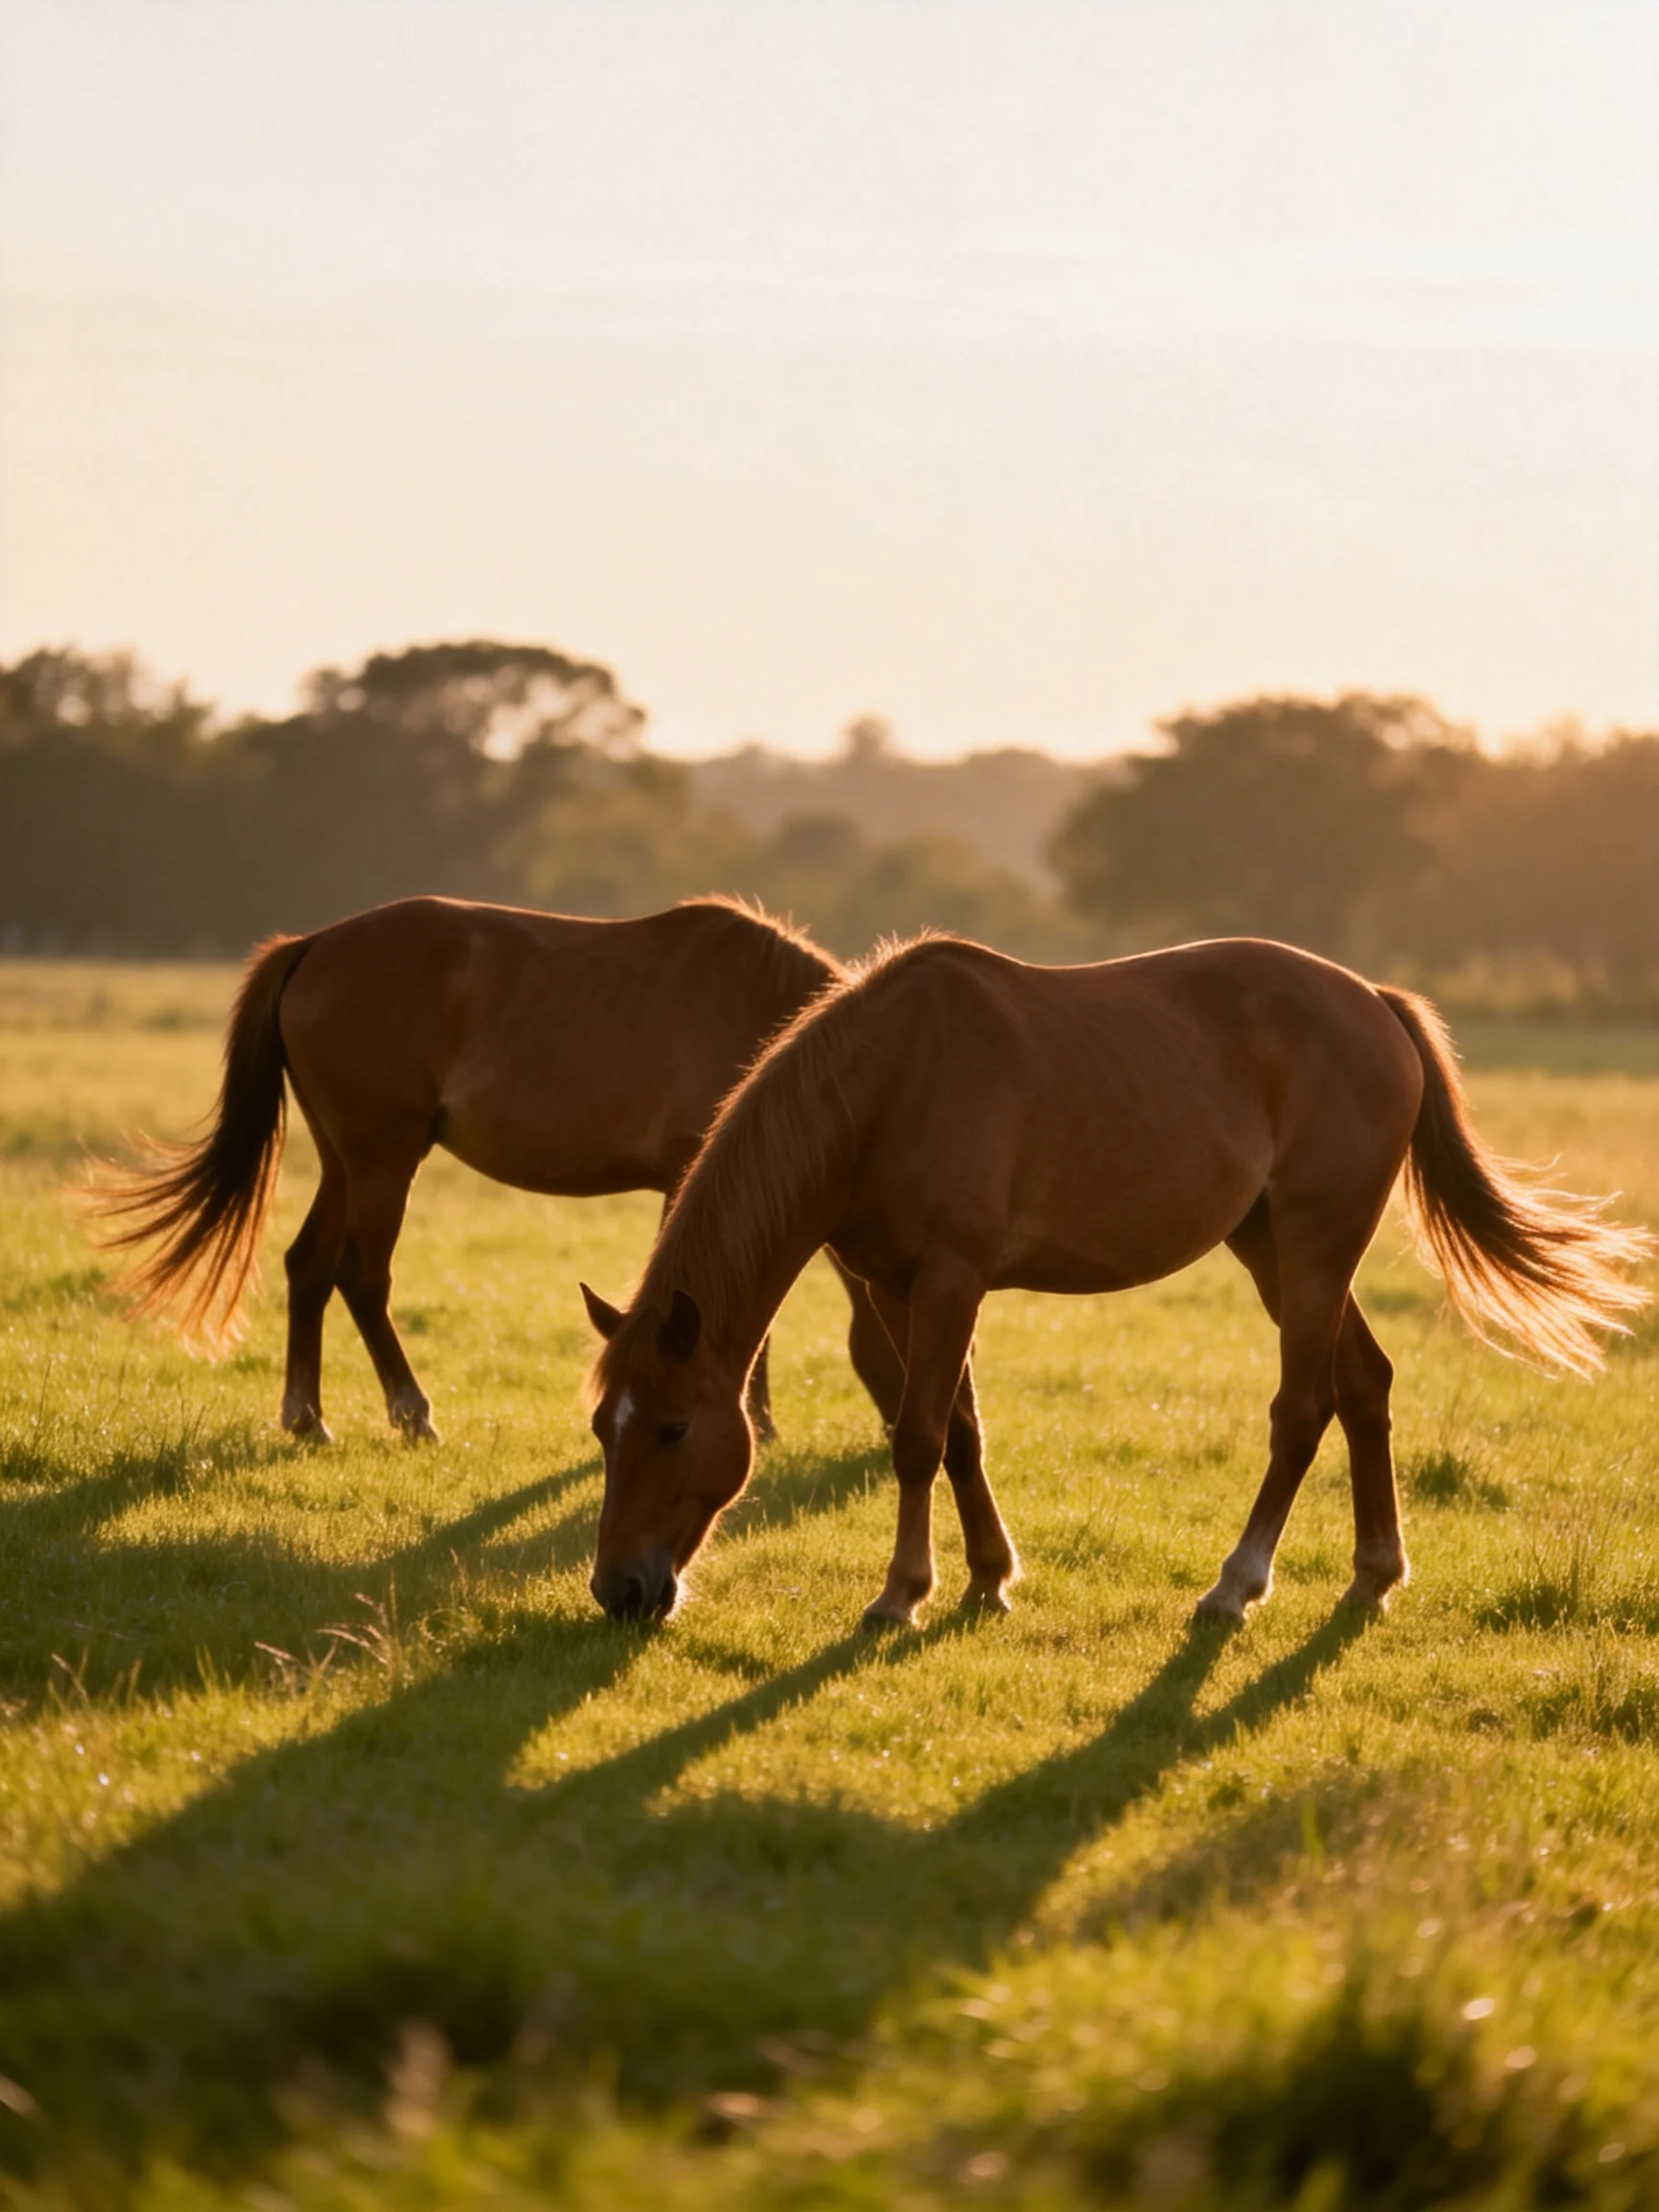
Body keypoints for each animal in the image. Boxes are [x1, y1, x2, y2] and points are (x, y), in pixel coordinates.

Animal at [89, 895, 904, 1444]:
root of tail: (313, 945)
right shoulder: (697, 1180)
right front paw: (755, 1424)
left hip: (345, 1161)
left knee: (308, 1267)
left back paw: (307, 1417)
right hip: (384, 1160)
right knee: (361, 1276)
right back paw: (412, 1413)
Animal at [581, 933, 1651, 1627]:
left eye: (673, 1428)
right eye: (603, 1429)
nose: (618, 1590)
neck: (887, 1086)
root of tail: (1377, 1006)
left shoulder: (953, 1279)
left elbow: (920, 1438)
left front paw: (901, 1594)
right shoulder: (894, 1286)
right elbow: (956, 1432)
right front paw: (988, 1576)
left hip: (1315, 1248)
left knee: (1303, 1410)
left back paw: (1237, 1585)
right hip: (1274, 1248)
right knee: (1364, 1387)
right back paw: (1374, 1573)